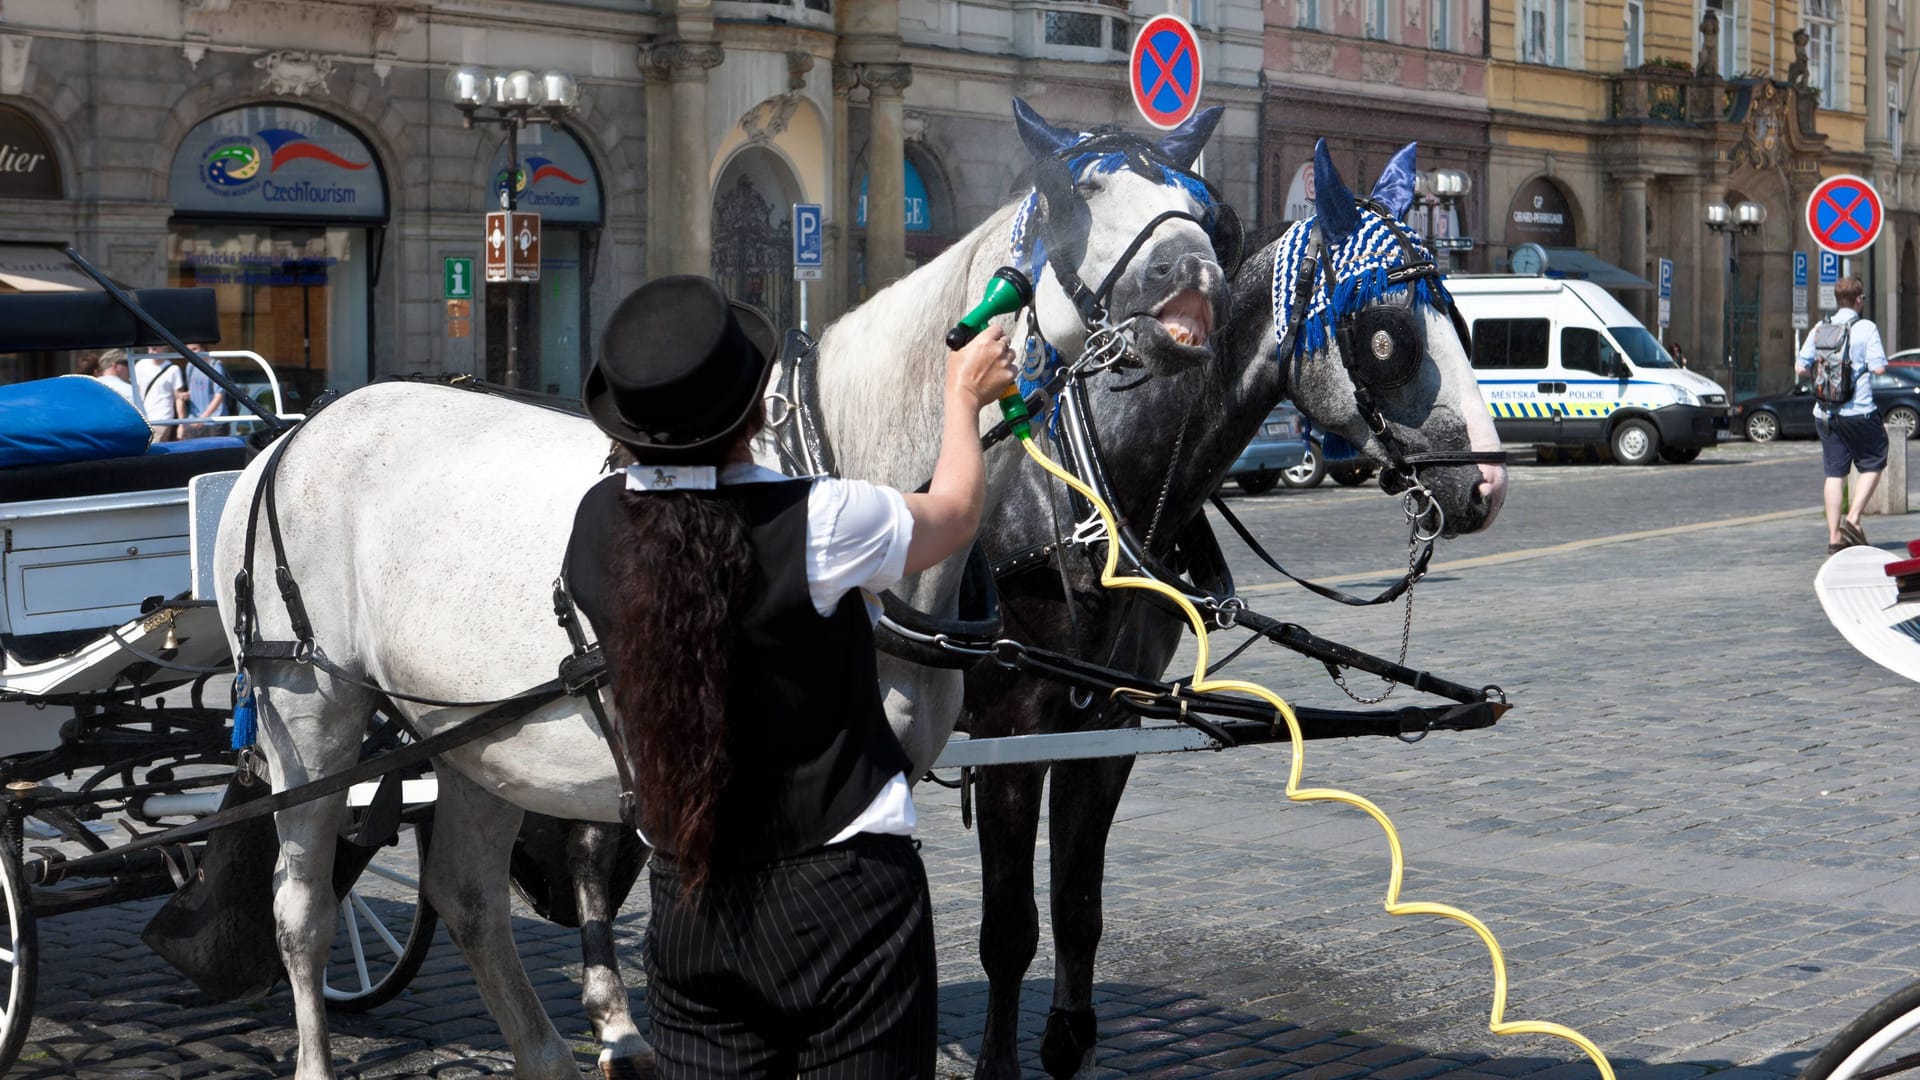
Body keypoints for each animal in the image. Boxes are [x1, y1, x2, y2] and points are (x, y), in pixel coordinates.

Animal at [214, 96, 1228, 1068]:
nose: (1196, 269)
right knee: (302, 908)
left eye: (1203, 200)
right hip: (310, 708)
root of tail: (291, 434)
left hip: (476, 730)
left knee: (467, 896)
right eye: (1078, 194)